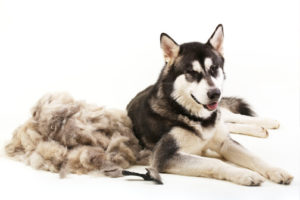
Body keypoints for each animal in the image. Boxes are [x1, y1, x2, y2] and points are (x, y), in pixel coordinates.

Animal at [123, 25, 292, 186]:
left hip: (221, 115)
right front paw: (244, 174)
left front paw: (276, 171)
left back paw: (267, 122)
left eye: (214, 68)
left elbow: (254, 157)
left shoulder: (225, 142)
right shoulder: (164, 156)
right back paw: (259, 129)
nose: (215, 93)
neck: (194, 117)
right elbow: (215, 162)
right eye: (192, 72)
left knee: (232, 116)